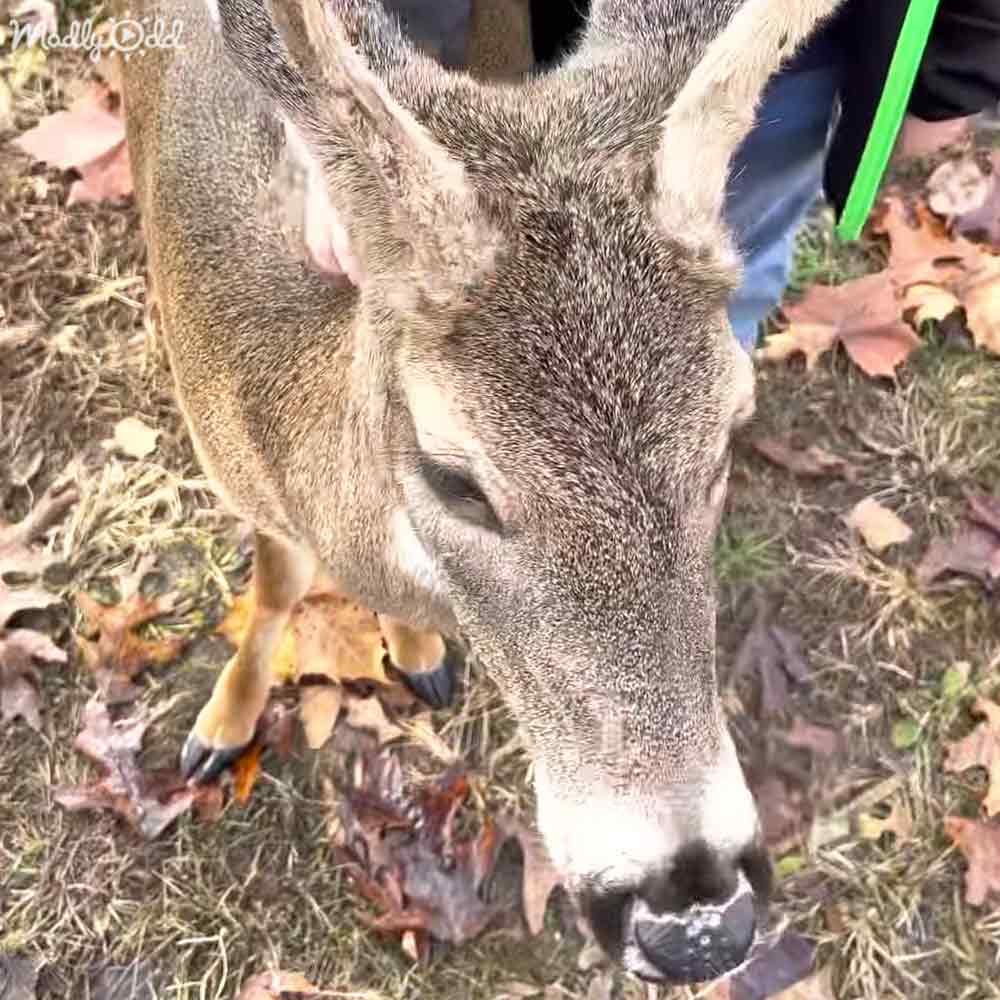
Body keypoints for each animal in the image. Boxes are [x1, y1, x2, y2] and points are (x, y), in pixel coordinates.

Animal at [117, 0, 844, 984]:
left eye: (730, 431)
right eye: (454, 478)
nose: (698, 922)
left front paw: (417, 653)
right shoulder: (235, 474)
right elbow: (271, 590)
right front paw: (223, 723)